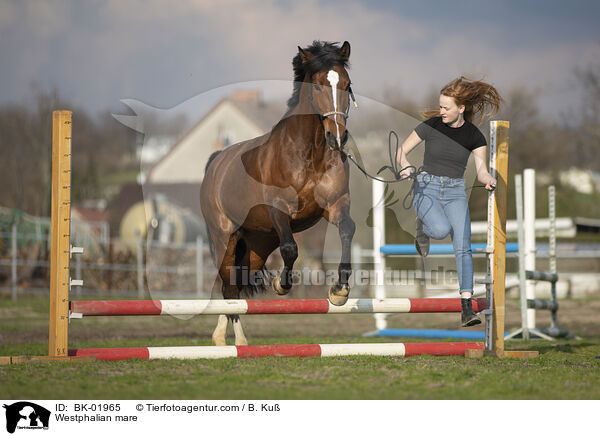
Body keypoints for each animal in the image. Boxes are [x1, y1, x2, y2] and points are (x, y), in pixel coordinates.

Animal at [199, 41, 354, 344]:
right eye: (318, 86)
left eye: (347, 85)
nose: (337, 138)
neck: (310, 153)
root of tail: (215, 163)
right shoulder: (279, 209)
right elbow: (291, 249)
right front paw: (281, 285)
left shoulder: (335, 205)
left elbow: (347, 231)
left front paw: (339, 290)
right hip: (225, 237)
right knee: (230, 287)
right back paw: (239, 342)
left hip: (257, 244)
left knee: (229, 283)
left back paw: (219, 338)